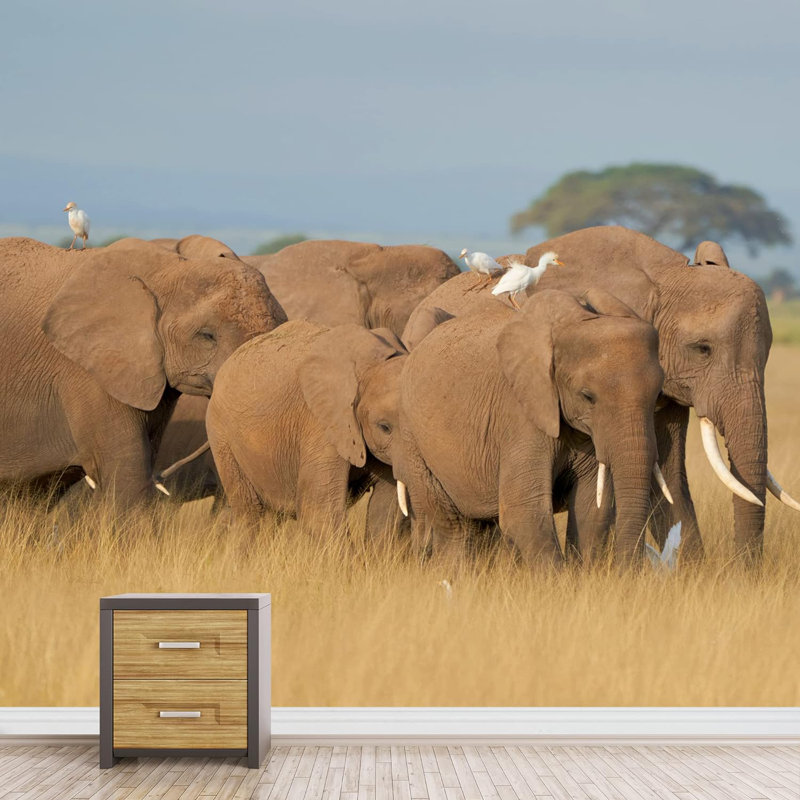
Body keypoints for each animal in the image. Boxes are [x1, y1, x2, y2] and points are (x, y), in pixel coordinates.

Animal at [394, 289, 666, 566]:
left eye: (657, 395)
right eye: (588, 396)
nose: (630, 566)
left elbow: (591, 510)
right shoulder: (519, 416)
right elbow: (524, 513)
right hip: (411, 438)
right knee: (452, 525)